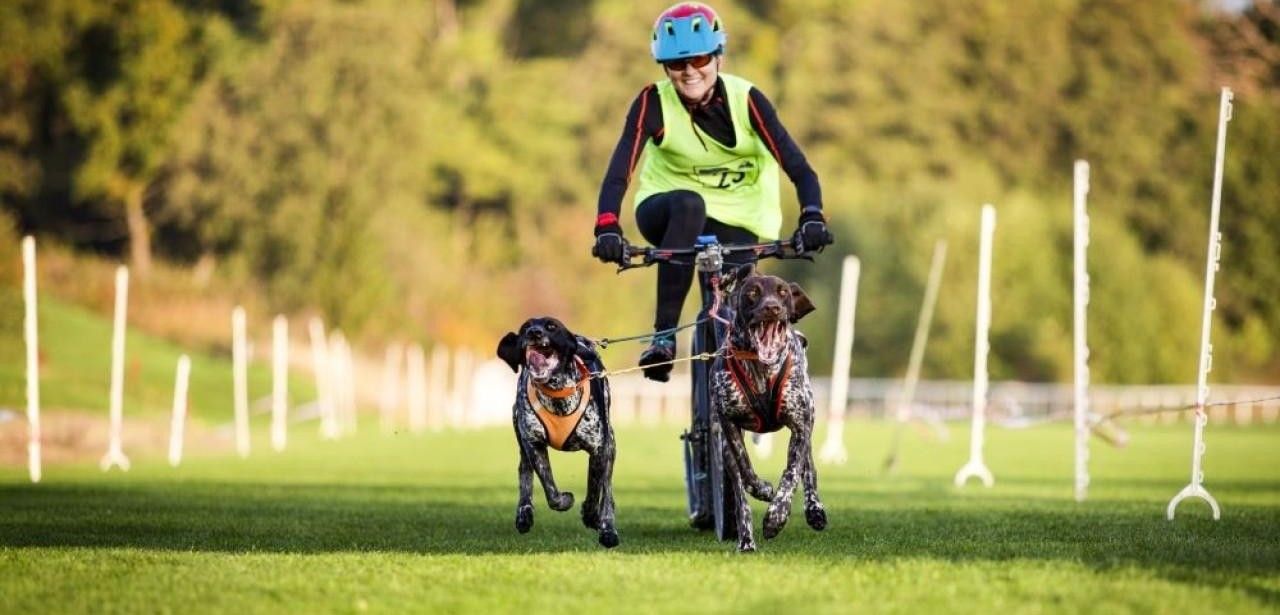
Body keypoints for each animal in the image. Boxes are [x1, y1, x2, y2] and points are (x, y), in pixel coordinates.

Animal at [494, 317, 619, 548]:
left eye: (552, 326)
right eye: (525, 327)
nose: (534, 333)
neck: (558, 394)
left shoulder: (599, 450)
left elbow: (596, 490)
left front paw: (596, 519)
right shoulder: (534, 445)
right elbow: (551, 491)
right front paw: (565, 500)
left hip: (611, 445)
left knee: (606, 489)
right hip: (521, 437)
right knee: (524, 472)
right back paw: (524, 513)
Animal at [716, 266, 824, 556]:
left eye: (783, 292)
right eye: (753, 292)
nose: (772, 308)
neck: (761, 369)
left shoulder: (800, 426)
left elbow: (791, 474)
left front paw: (777, 516)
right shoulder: (729, 424)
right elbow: (746, 472)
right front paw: (764, 490)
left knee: (808, 469)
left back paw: (815, 510)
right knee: (739, 492)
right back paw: (746, 541)